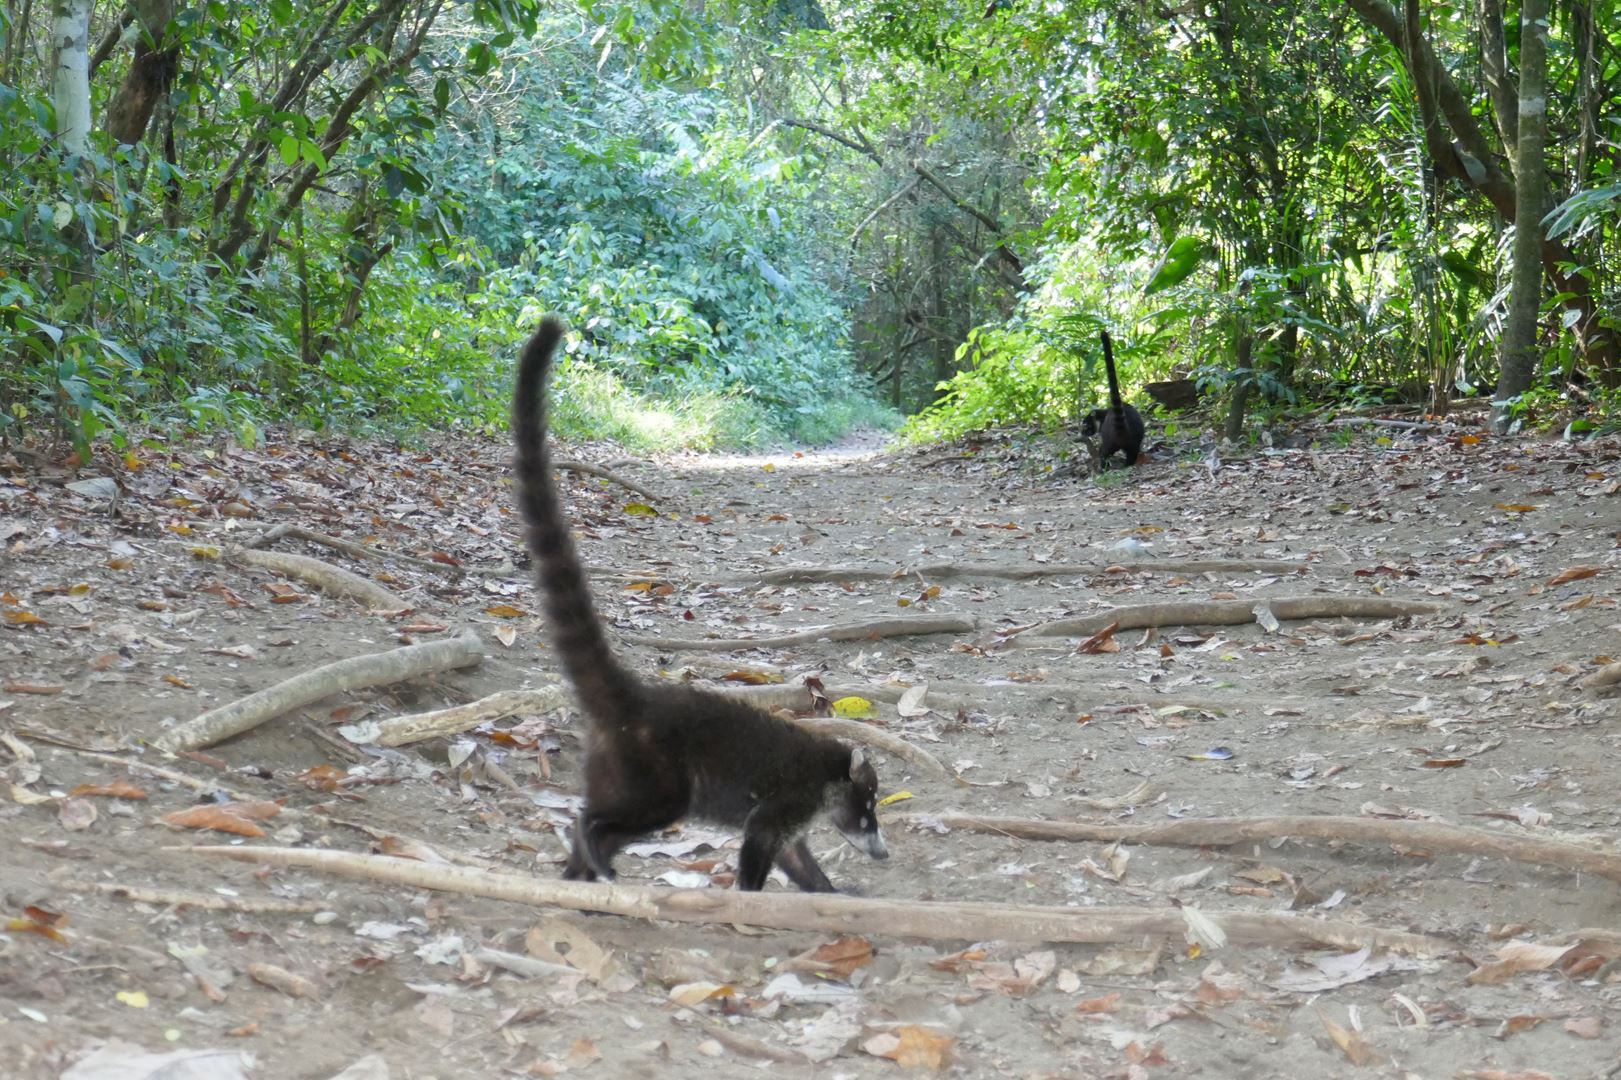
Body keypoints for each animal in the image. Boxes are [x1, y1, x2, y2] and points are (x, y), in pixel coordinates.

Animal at [510, 317, 889, 892]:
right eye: (867, 811)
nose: (883, 852)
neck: (826, 769)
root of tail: (636, 700)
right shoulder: (785, 802)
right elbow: (759, 848)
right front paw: (750, 899)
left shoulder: (792, 821)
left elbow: (797, 859)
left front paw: (829, 892)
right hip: (657, 775)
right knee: (609, 816)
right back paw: (593, 847)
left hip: (613, 768)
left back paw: (579, 870)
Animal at [1080, 328, 1145, 468]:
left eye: (1086, 426)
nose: (1082, 434)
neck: (1101, 414)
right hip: (1135, 439)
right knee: (1133, 451)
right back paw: (1129, 463)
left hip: (1110, 439)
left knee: (1105, 451)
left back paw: (1103, 466)